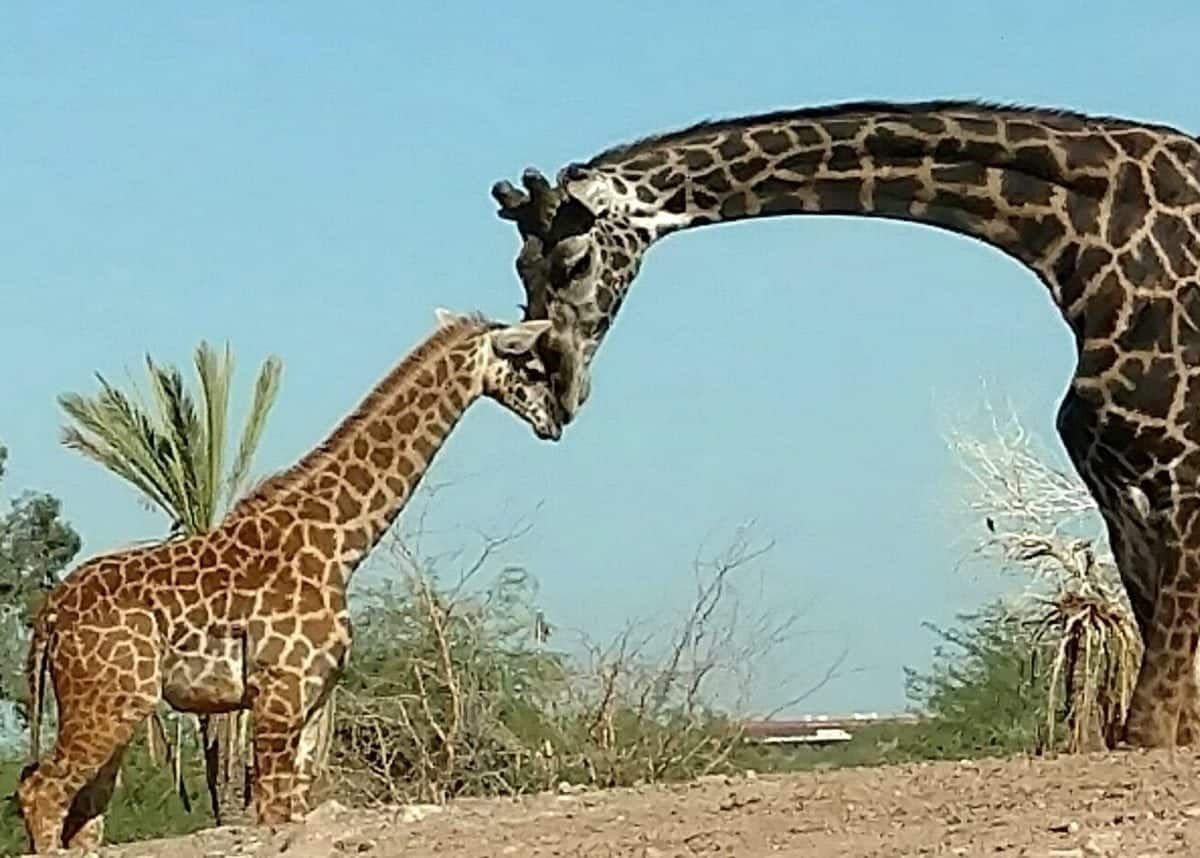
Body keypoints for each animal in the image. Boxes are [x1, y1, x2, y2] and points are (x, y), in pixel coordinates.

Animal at [16, 309, 564, 854]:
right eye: (534, 367)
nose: (555, 423)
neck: (339, 545)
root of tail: (49, 615)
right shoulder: (280, 690)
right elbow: (272, 814)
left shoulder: (314, 697)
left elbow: (295, 808)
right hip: (112, 701)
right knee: (39, 790)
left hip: (110, 706)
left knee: (82, 818)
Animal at [492, 97, 1200, 748]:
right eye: (521, 269)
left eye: (574, 262)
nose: (553, 392)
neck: (1086, 243)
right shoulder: (1120, 490)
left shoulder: (1181, 479)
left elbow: (1150, 729)